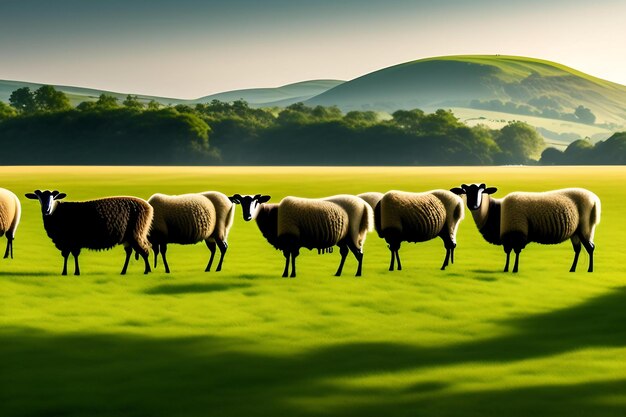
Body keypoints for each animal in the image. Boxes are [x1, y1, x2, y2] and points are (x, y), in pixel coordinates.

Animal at [232, 194, 372, 278]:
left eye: (256, 202)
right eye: (242, 203)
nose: (248, 216)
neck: (273, 215)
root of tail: (364, 205)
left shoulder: (292, 239)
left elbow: (292, 257)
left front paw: (292, 274)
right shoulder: (286, 242)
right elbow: (288, 257)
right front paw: (285, 274)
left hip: (353, 234)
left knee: (359, 254)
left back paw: (358, 273)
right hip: (343, 238)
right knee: (345, 253)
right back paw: (338, 273)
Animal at [448, 184, 600, 272]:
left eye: (482, 191)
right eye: (466, 191)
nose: (473, 205)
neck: (495, 211)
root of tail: (594, 199)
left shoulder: (517, 232)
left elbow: (516, 251)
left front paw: (514, 269)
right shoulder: (507, 235)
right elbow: (508, 252)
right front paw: (506, 269)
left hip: (585, 227)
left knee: (590, 248)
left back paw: (590, 269)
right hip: (576, 231)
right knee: (578, 249)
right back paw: (572, 269)